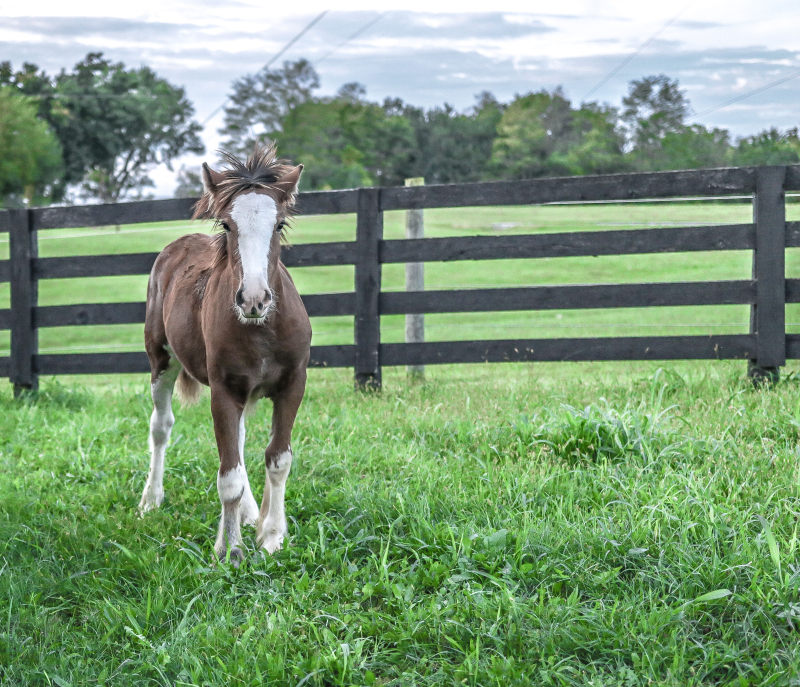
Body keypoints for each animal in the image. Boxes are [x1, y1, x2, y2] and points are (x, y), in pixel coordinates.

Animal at [139, 144, 310, 564]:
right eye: (228, 226)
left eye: (279, 225)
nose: (253, 299)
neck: (261, 329)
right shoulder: (223, 389)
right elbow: (228, 476)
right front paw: (229, 549)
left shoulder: (293, 384)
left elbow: (278, 459)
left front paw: (271, 535)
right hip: (160, 360)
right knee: (160, 426)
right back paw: (151, 499)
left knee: (242, 441)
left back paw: (250, 514)